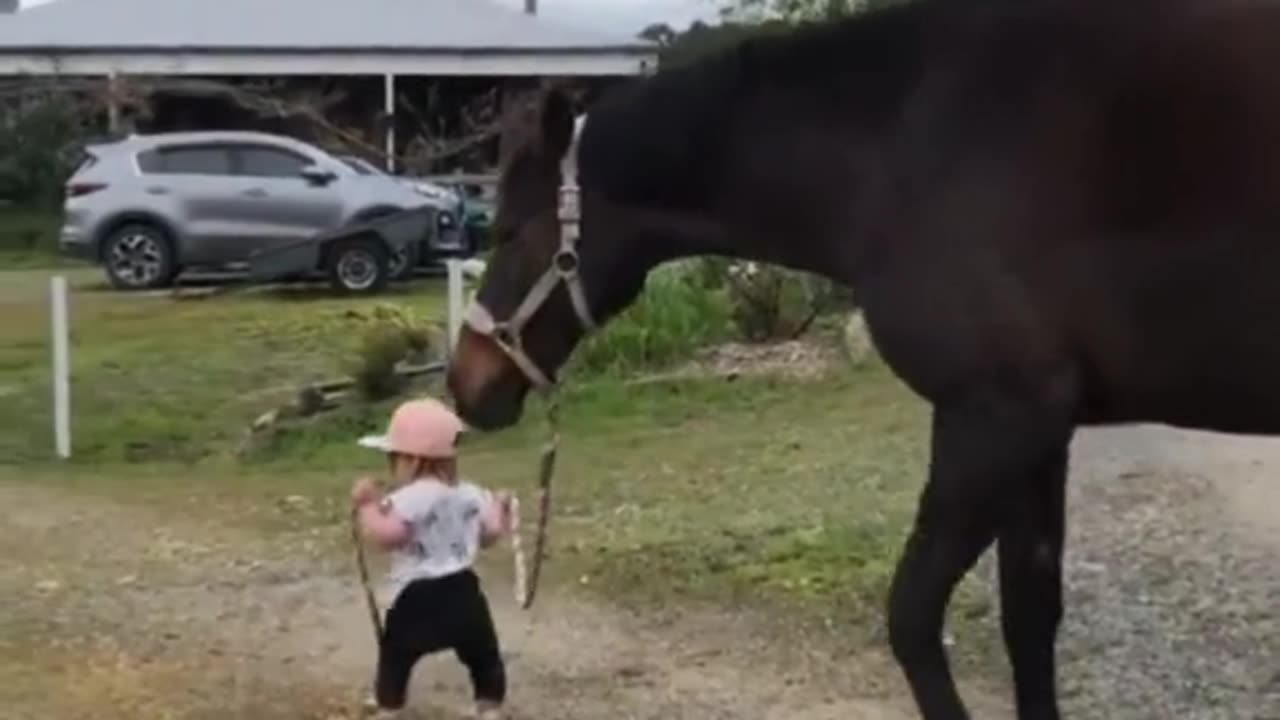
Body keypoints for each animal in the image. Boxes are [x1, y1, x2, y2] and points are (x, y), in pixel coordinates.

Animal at [445, 2, 1280, 712]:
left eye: (510, 230)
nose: (466, 383)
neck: (907, 143)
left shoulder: (993, 418)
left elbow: (912, 616)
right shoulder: (1043, 431)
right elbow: (1030, 617)